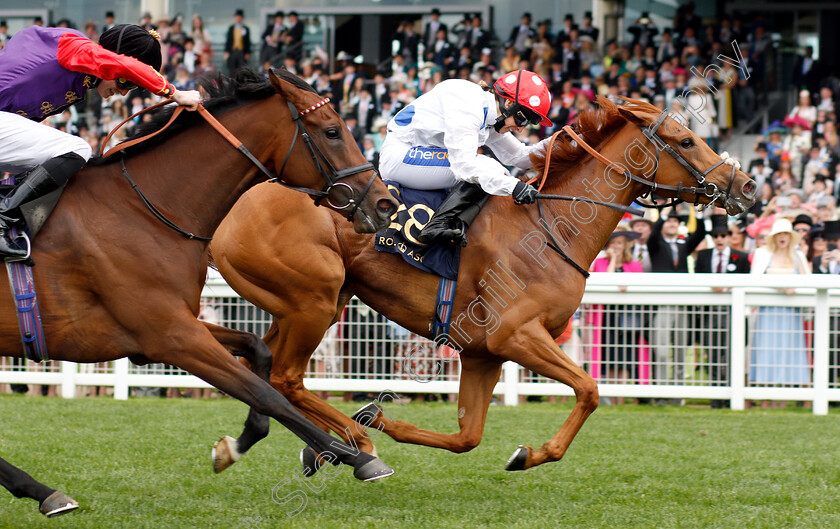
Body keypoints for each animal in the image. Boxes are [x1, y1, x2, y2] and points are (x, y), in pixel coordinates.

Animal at [0, 68, 400, 516]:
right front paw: (355, 456)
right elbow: (267, 393)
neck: (144, 208)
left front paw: (237, 444)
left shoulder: (172, 326)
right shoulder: (171, 337)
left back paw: (42, 491)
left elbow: (257, 355)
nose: (386, 204)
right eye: (331, 130)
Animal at [208, 97, 756, 472]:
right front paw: (531, 453)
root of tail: (236, 202)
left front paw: (379, 419)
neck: (550, 226)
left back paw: (281, 445)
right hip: (313, 300)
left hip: (302, 304)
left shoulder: (481, 353)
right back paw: (350, 447)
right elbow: (589, 389)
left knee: (261, 364)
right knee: (284, 378)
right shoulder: (516, 335)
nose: (747, 185)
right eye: (685, 141)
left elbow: (466, 437)